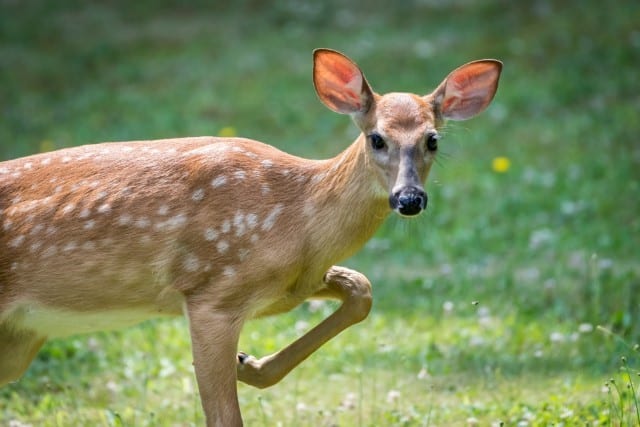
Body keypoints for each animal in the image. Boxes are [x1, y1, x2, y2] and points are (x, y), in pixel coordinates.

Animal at [0, 49, 500, 424]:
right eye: (376, 138)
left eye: (432, 139)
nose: (409, 198)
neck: (296, 213)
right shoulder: (210, 295)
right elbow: (224, 417)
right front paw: (244, 367)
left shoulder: (291, 284)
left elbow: (361, 287)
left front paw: (252, 367)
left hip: (20, 341)